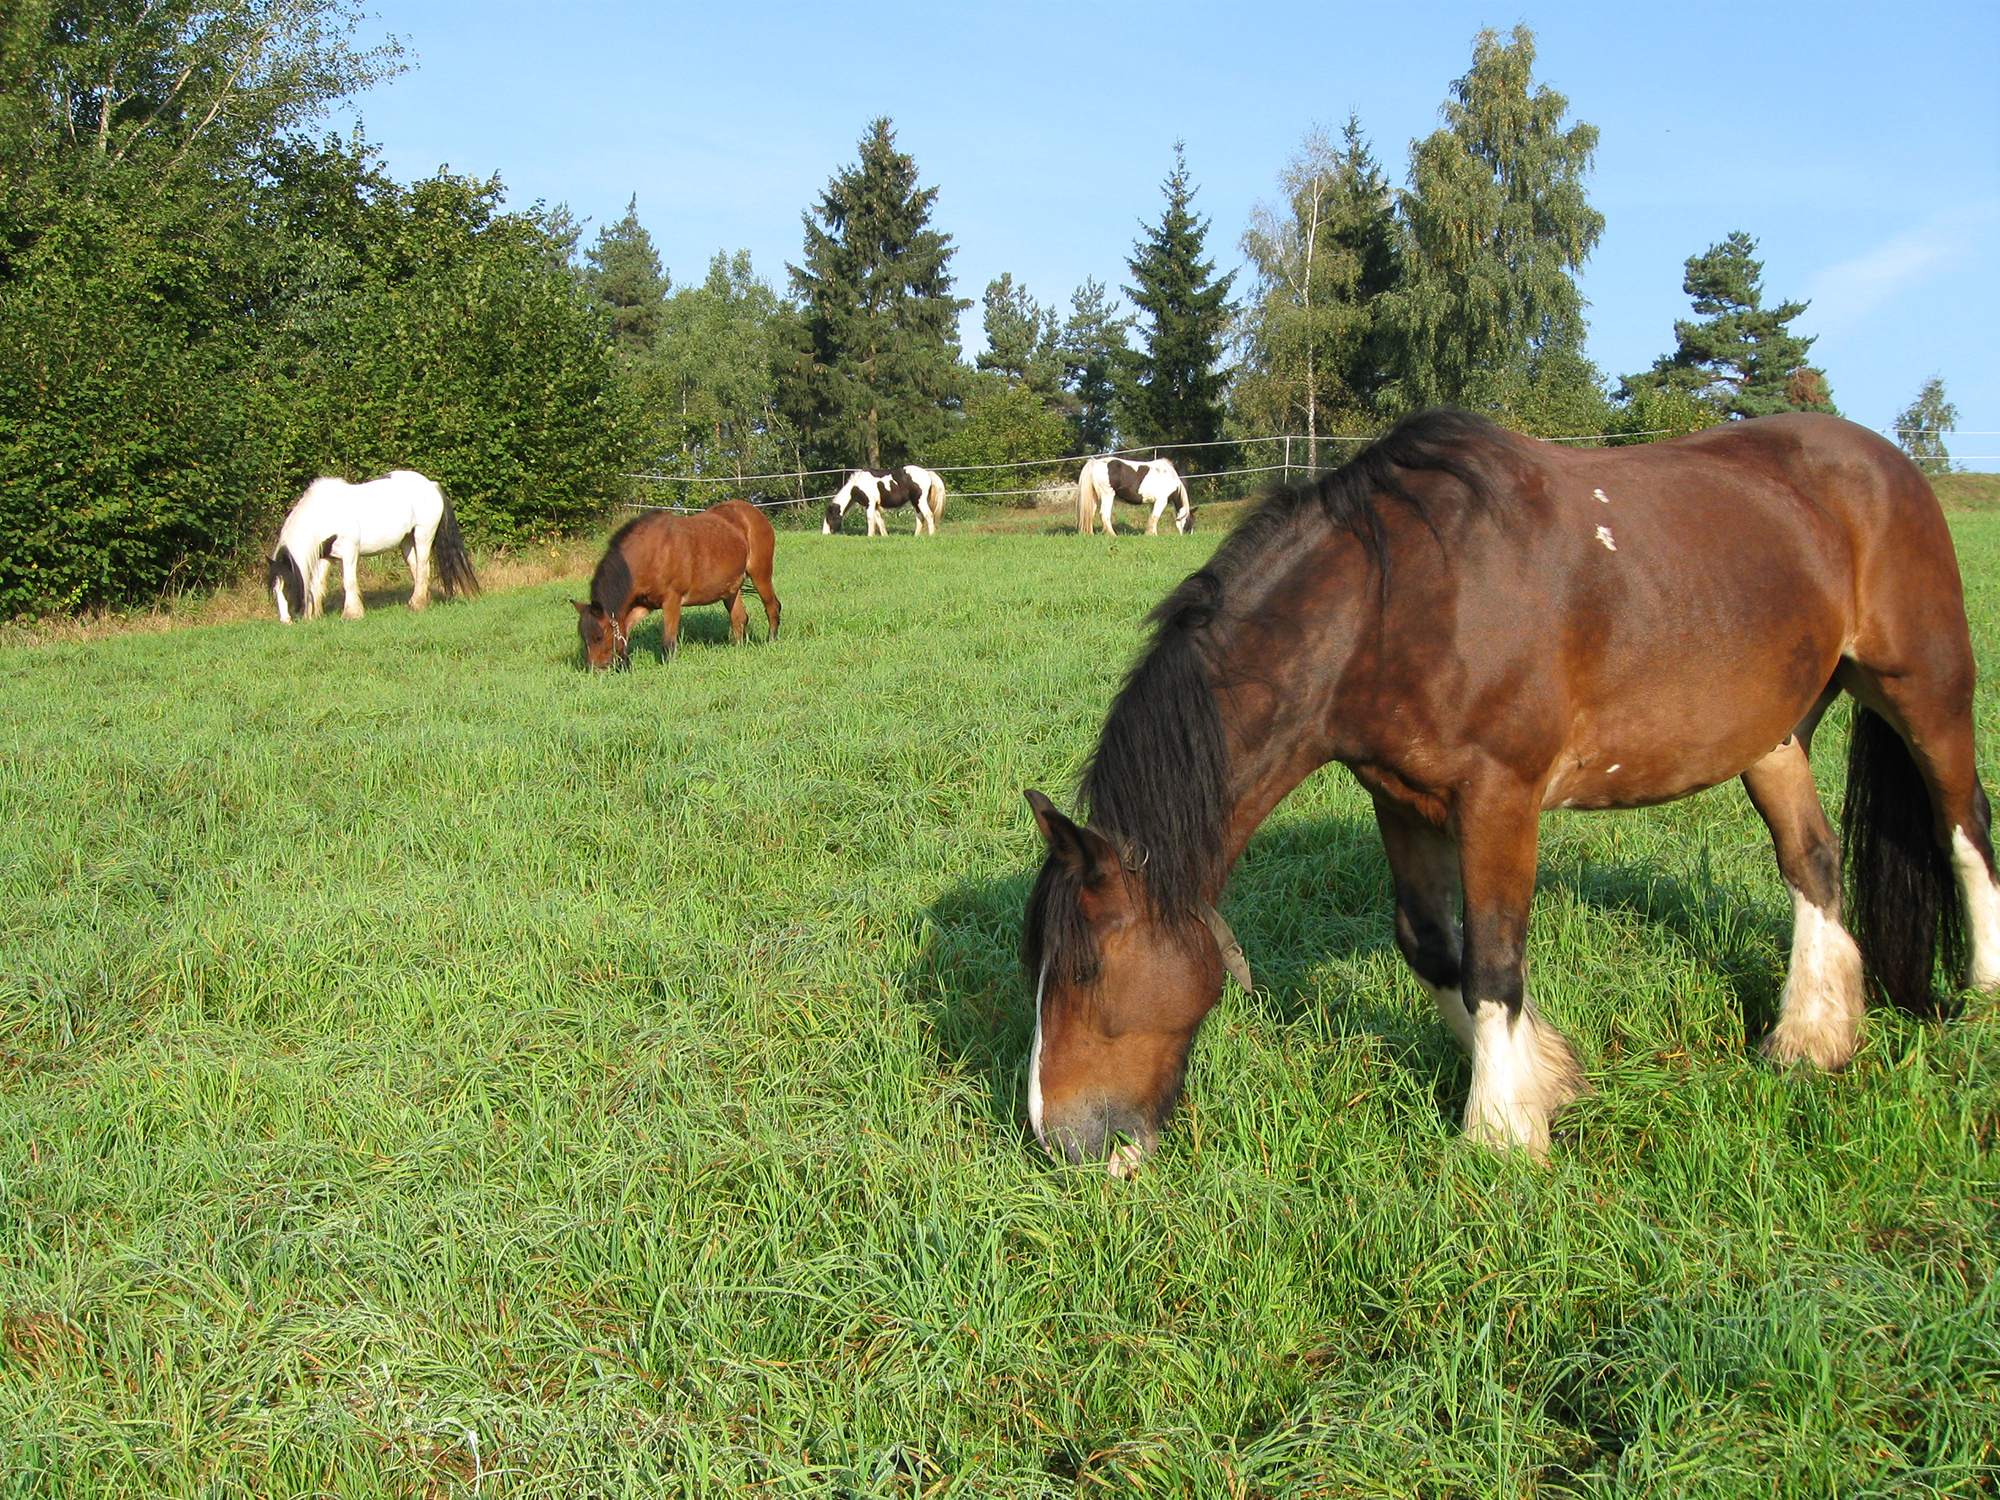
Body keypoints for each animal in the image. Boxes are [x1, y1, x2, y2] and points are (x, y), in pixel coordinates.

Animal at [266, 470, 476, 624]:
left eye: (288, 586)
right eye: (275, 589)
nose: (286, 620)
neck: (326, 513)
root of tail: (430, 484)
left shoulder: (349, 551)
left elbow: (348, 582)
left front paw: (351, 614)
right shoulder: (325, 556)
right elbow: (316, 585)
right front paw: (313, 616)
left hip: (423, 534)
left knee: (423, 567)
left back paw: (417, 605)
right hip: (407, 542)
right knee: (417, 569)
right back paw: (421, 601)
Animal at [572, 500, 780, 668]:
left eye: (598, 636)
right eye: (583, 637)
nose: (594, 669)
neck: (651, 553)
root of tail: (754, 512)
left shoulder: (672, 601)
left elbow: (668, 640)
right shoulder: (645, 604)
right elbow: (625, 630)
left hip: (760, 574)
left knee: (772, 607)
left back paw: (771, 640)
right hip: (731, 589)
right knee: (739, 618)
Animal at [1024, 408, 2000, 1176]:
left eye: (1082, 971)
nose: (1058, 1141)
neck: (1397, 598)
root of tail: (1883, 460)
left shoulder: (1500, 798)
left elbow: (1494, 961)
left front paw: (1499, 1131)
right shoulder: (1399, 798)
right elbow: (1430, 948)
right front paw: (1546, 1080)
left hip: (1927, 690)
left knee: (1966, 831)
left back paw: (1982, 1002)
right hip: (1774, 734)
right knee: (1812, 861)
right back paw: (1811, 1038)